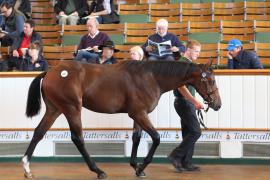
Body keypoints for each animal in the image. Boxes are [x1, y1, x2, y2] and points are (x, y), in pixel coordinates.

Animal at [22, 60, 221, 179]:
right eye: (210, 81)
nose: (217, 104)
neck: (151, 77)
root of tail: (50, 72)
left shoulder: (137, 114)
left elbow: (136, 138)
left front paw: (136, 167)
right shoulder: (139, 113)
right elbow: (156, 138)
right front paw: (141, 167)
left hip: (54, 109)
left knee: (38, 133)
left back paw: (26, 168)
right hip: (71, 109)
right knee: (77, 138)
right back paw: (98, 170)